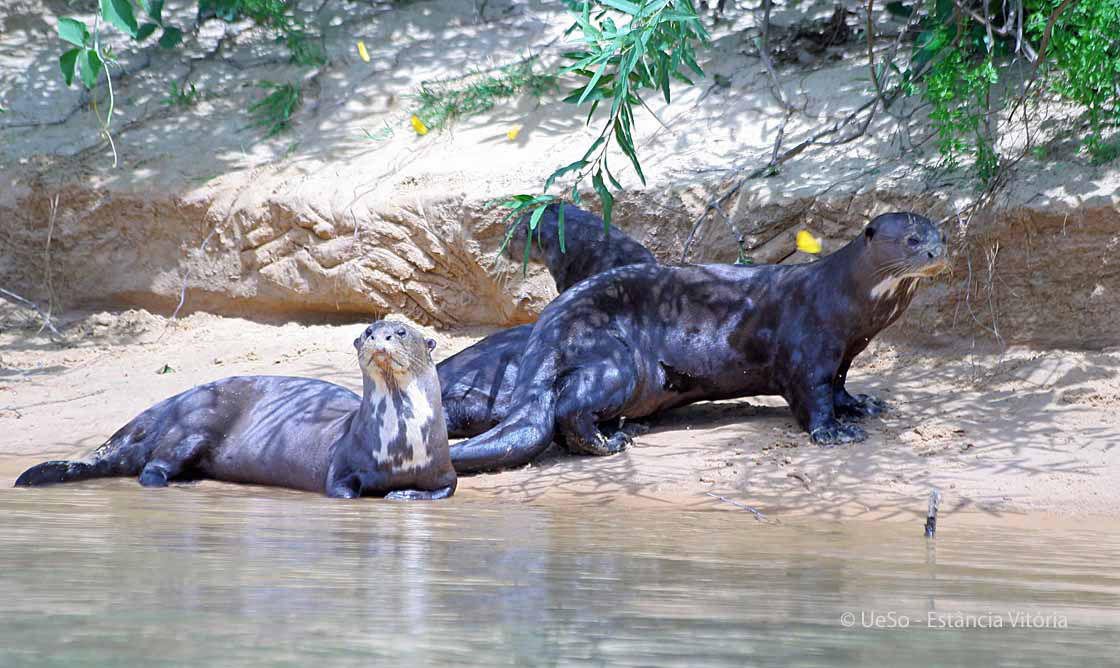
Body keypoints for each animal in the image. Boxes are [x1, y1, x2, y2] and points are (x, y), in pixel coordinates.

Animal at [15, 320, 456, 497]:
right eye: (367, 330)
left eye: (401, 331)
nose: (378, 337)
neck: (400, 442)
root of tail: (167, 404)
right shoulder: (341, 470)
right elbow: (342, 492)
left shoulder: (443, 472)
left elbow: (443, 491)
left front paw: (405, 494)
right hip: (194, 423)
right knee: (152, 466)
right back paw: (178, 483)